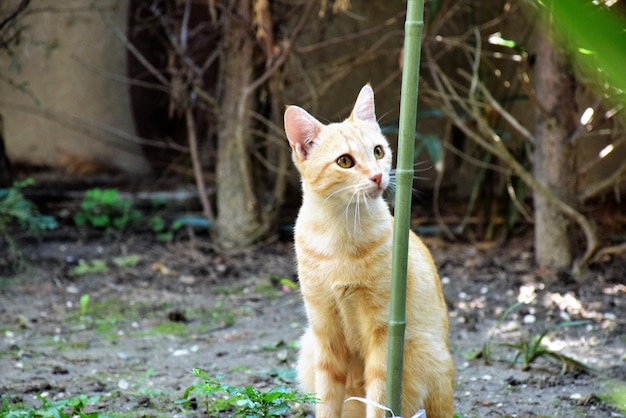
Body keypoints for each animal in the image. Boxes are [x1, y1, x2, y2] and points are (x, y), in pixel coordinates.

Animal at [282, 85, 454, 418]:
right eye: (345, 162)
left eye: (378, 151)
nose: (377, 176)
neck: (340, 232)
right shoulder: (325, 332)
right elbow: (326, 399)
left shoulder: (385, 333)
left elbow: (379, 395)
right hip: (308, 345)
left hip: (422, 353)